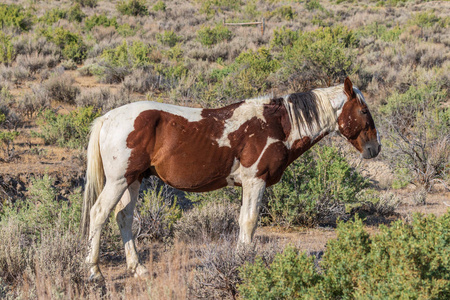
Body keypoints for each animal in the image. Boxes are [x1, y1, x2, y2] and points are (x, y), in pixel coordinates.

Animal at [80, 77, 380, 282]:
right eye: (364, 111)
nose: (374, 148)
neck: (278, 125)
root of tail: (107, 118)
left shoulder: (250, 184)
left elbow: (245, 220)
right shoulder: (255, 181)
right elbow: (249, 221)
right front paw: (244, 262)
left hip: (133, 180)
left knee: (123, 218)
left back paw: (137, 268)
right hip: (119, 181)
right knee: (99, 214)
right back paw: (94, 271)